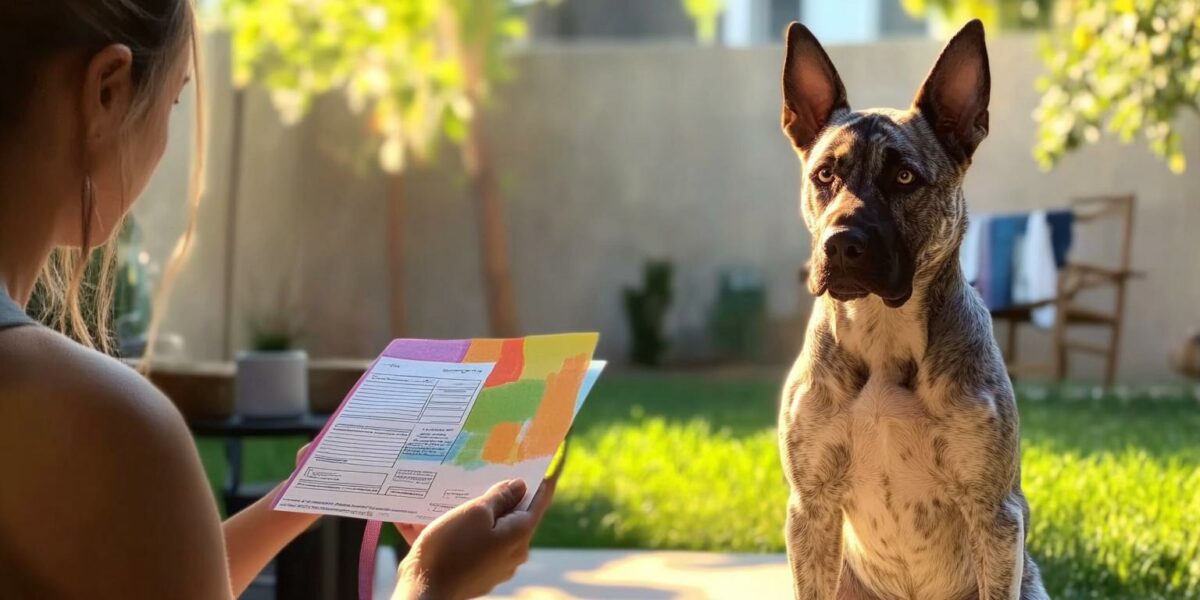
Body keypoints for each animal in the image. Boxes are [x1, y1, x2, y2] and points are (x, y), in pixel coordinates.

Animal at [777, 19, 1051, 600]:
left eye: (904, 178)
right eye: (824, 175)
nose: (841, 245)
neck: (882, 333)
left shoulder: (994, 514)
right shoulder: (810, 509)